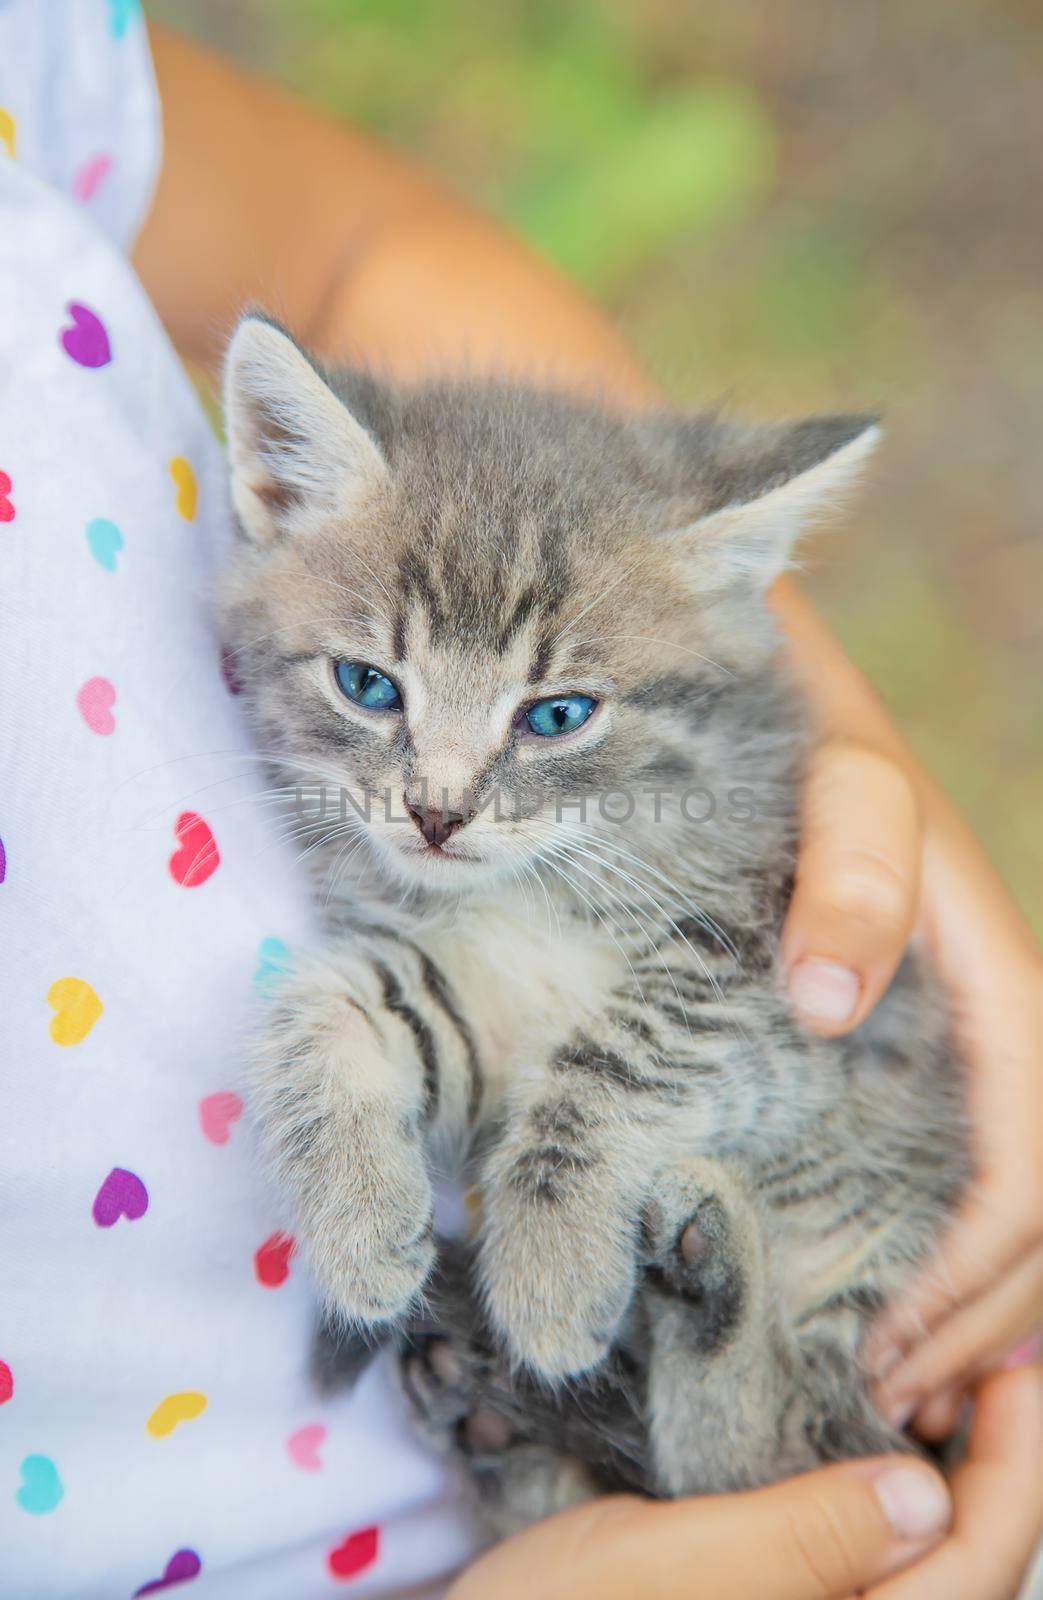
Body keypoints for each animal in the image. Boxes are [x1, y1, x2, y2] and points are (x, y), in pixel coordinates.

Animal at [220, 315, 972, 1536]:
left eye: (557, 715)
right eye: (367, 686)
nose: (435, 812)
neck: (537, 883)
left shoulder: (767, 969)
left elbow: (616, 1060)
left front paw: (550, 1274)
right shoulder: (463, 995)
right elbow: (327, 1010)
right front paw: (363, 1232)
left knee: (772, 1456)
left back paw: (705, 1262)